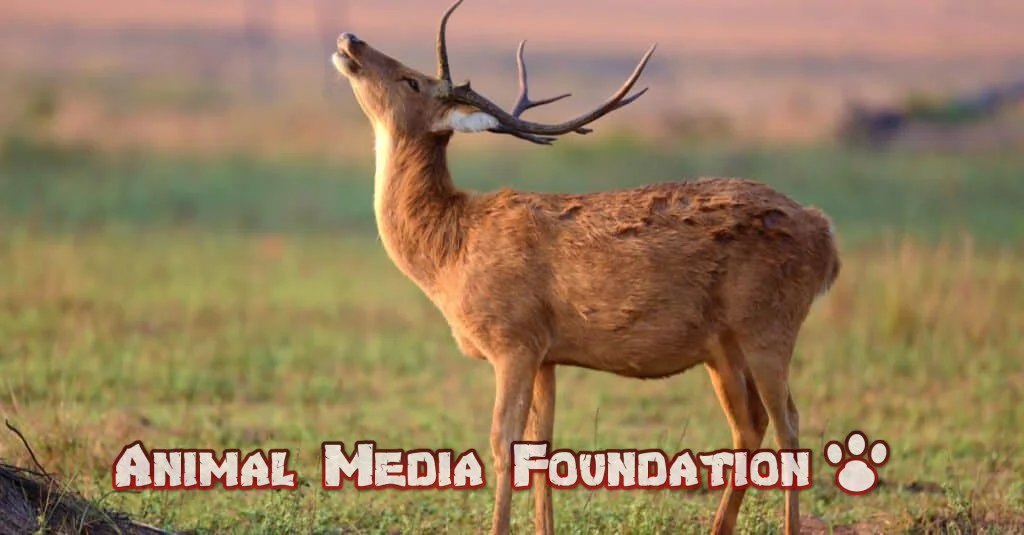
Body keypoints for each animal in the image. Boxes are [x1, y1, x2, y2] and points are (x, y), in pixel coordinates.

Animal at [331, 1, 839, 533]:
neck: (449, 252)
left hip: (769, 325)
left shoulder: (513, 340)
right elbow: (541, 446)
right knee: (749, 426)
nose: (351, 39)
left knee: (789, 425)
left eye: (412, 80)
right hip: (723, 347)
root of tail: (825, 235)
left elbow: (503, 442)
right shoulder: (546, 352)